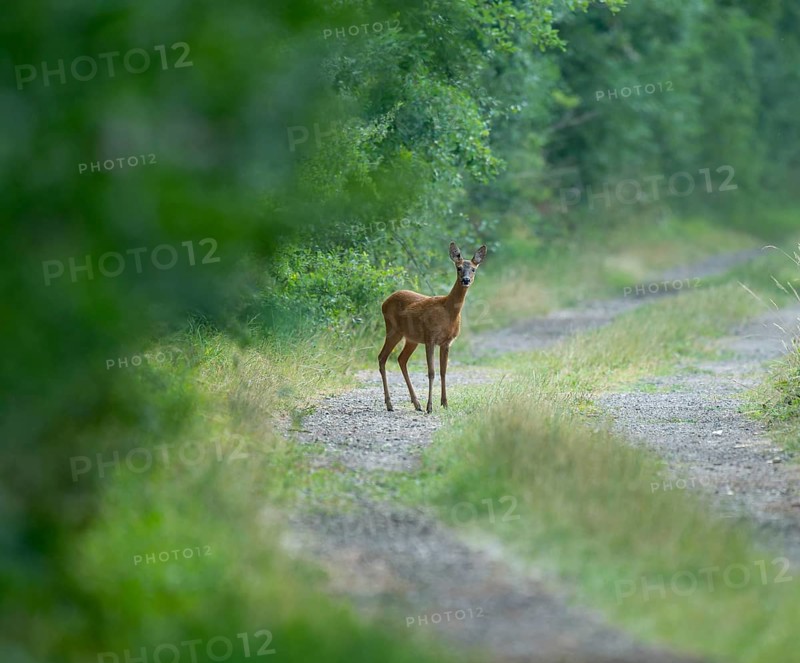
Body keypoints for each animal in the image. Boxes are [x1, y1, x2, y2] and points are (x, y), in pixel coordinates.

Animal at [378, 242, 487, 413]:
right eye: (459, 268)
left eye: (473, 269)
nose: (466, 280)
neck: (448, 312)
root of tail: (384, 302)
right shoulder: (430, 338)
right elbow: (431, 372)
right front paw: (430, 406)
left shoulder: (447, 342)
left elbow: (443, 371)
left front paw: (445, 403)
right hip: (393, 330)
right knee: (382, 358)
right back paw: (390, 404)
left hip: (411, 338)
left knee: (401, 359)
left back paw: (416, 403)